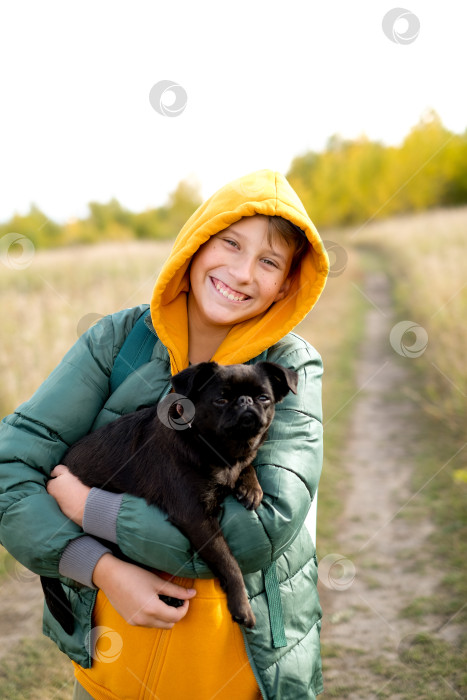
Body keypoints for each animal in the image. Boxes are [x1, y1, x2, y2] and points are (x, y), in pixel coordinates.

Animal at [40, 360, 296, 636]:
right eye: (221, 400)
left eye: (264, 398)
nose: (246, 401)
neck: (219, 450)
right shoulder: (197, 519)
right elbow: (228, 561)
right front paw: (241, 605)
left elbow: (246, 464)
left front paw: (250, 484)